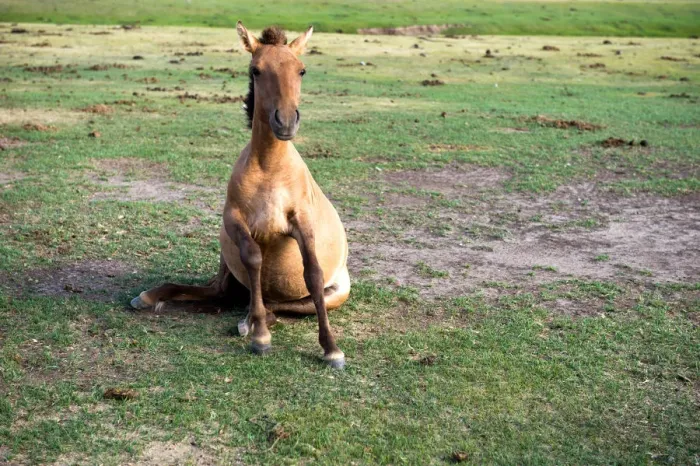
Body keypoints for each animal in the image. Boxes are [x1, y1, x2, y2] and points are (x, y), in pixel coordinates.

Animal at [130, 22, 350, 369]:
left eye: (301, 70)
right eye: (256, 70)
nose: (285, 121)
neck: (270, 170)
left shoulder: (303, 224)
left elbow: (313, 273)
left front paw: (331, 349)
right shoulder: (234, 220)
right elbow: (253, 256)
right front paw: (260, 337)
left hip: (331, 295)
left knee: (276, 306)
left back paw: (248, 320)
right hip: (228, 270)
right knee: (220, 292)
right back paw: (152, 297)